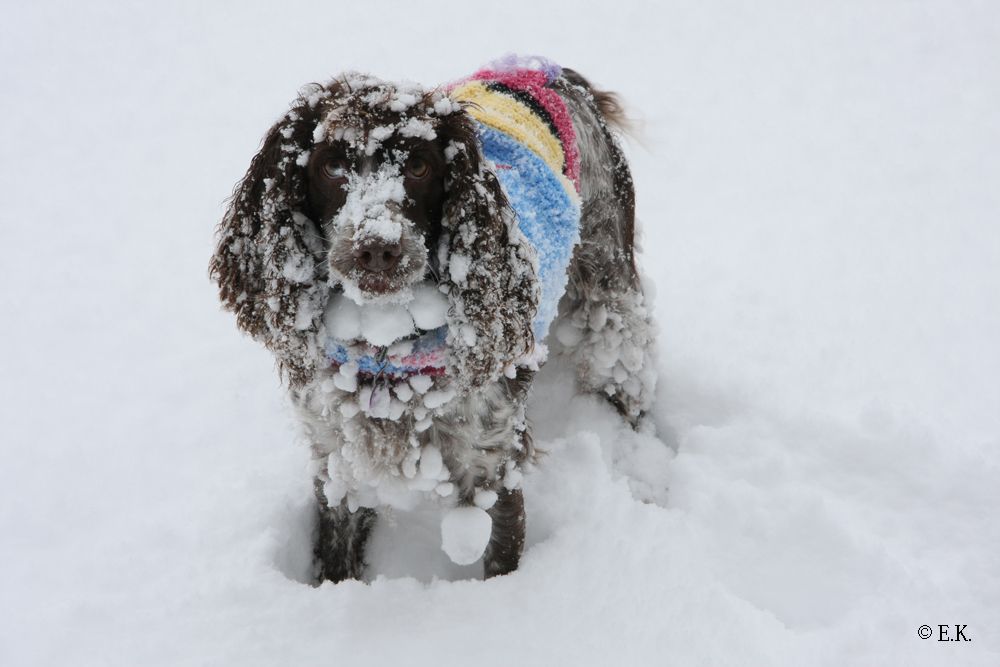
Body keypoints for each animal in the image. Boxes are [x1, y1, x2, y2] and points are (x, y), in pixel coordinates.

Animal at [211, 54, 656, 580]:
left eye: (420, 165)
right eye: (332, 165)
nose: (377, 248)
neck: (387, 355)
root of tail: (548, 68)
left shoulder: (492, 465)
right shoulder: (337, 459)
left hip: (609, 299)